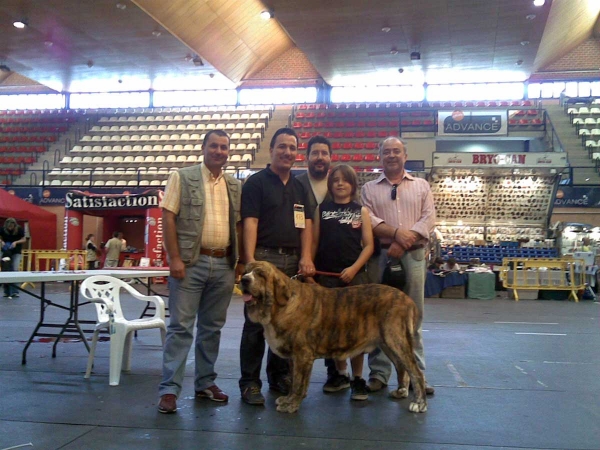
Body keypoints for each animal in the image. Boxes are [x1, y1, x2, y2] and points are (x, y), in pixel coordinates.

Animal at [239, 260, 426, 414]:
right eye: (245, 272)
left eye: (260, 274)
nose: (244, 280)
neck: (280, 306)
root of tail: (407, 298)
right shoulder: (294, 357)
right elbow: (293, 382)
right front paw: (288, 399)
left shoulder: (302, 355)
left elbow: (299, 382)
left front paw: (291, 405)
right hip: (388, 344)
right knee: (402, 368)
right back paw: (401, 391)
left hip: (396, 340)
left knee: (416, 372)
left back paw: (419, 403)